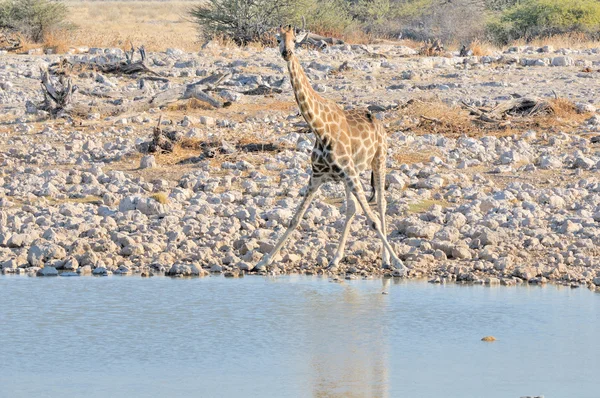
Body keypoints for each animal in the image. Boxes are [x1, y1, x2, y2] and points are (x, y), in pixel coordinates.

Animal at [253, 23, 408, 276]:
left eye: (295, 40)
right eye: (277, 39)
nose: (287, 52)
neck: (319, 128)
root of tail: (379, 122)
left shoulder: (349, 173)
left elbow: (373, 220)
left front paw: (400, 264)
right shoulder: (317, 176)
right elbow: (294, 219)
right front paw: (263, 261)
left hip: (378, 160)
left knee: (381, 204)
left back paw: (387, 260)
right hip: (350, 175)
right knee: (352, 208)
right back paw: (335, 258)